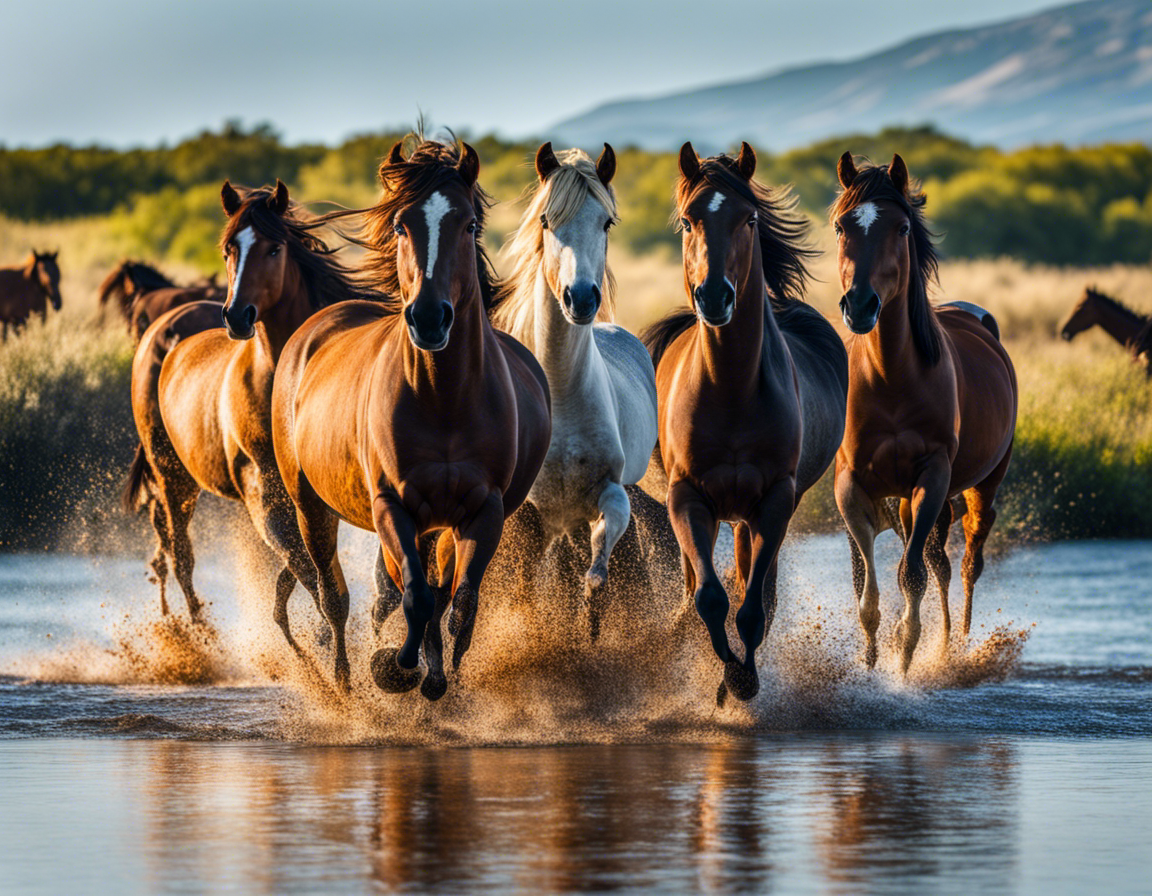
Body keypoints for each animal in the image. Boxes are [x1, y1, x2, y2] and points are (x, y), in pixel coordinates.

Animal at [124, 180, 370, 647]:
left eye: (275, 248)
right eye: (228, 250)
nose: (237, 316)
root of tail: (164, 330)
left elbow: (300, 568)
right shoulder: (265, 489)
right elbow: (306, 570)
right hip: (173, 477)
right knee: (180, 556)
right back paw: (199, 635)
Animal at [271, 138, 552, 699]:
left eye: (469, 224)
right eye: (402, 226)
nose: (428, 317)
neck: (443, 399)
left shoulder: (482, 511)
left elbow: (459, 603)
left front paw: (443, 679)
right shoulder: (392, 505)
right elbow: (415, 596)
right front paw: (396, 666)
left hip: (434, 523)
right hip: (309, 504)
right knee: (333, 594)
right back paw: (344, 683)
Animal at [490, 142, 659, 639]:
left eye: (606, 222)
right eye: (547, 220)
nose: (580, 298)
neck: (562, 396)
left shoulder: (611, 493)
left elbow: (597, 574)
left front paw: (591, 627)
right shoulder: (529, 516)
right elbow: (527, 591)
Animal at [641, 142, 848, 703]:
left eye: (748, 219)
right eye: (688, 220)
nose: (715, 296)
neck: (731, 387)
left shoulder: (774, 499)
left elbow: (753, 607)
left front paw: (742, 680)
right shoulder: (687, 498)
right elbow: (708, 598)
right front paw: (726, 673)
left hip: (761, 512)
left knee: (757, 589)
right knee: (701, 588)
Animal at [831, 152, 1018, 673]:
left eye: (901, 228)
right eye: (840, 225)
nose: (860, 305)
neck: (891, 378)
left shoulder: (932, 477)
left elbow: (912, 573)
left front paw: (907, 651)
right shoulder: (851, 483)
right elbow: (867, 582)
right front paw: (873, 656)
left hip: (981, 484)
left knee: (966, 562)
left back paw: (956, 644)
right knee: (939, 563)